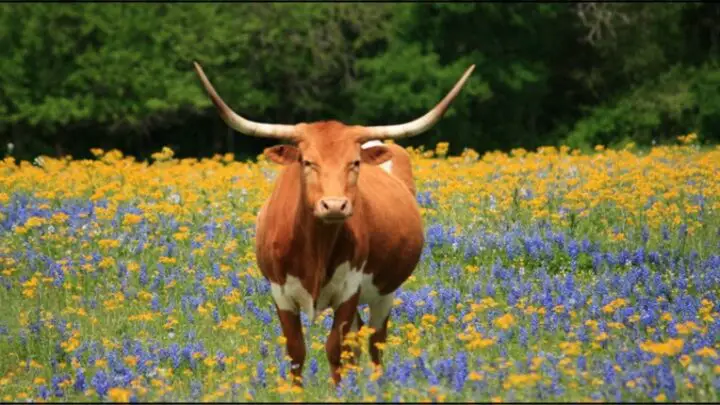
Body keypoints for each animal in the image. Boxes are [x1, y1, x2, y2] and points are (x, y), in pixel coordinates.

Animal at [193, 60, 472, 386]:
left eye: (355, 162)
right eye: (307, 161)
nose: (335, 205)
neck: (315, 246)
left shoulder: (349, 288)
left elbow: (336, 348)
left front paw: (341, 390)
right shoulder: (280, 292)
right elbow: (296, 351)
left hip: (384, 291)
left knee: (374, 342)